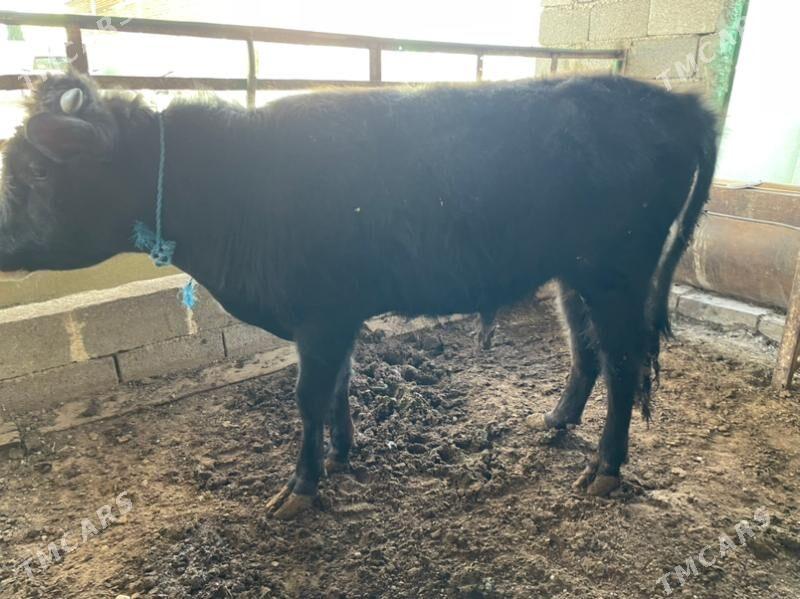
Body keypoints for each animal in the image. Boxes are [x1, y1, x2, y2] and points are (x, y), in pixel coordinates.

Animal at [0, 73, 717, 518]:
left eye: (35, 169)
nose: (2, 239)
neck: (235, 185)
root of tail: (677, 103)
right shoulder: (335, 316)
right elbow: (338, 386)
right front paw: (344, 453)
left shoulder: (320, 315)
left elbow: (307, 396)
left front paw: (301, 486)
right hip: (573, 276)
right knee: (585, 350)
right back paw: (557, 422)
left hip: (617, 274)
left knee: (623, 363)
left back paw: (604, 469)